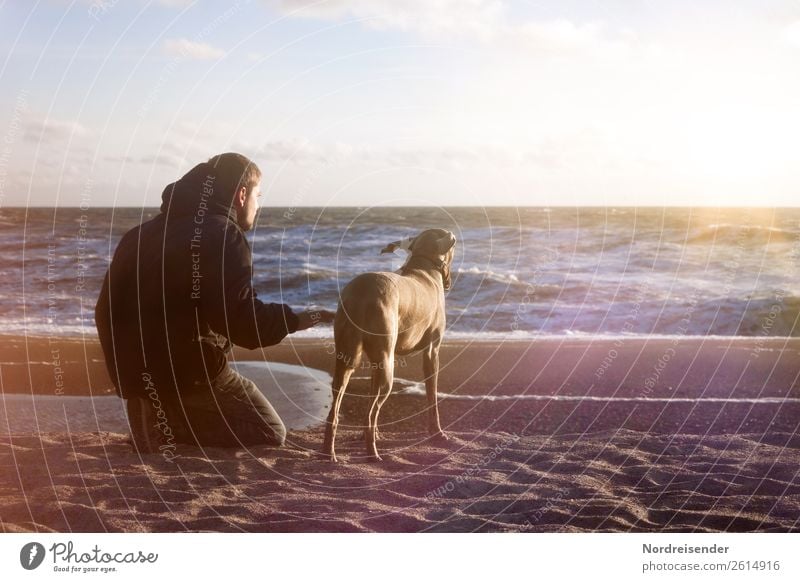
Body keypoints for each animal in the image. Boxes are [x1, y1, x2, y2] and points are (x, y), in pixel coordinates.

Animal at [320, 230, 456, 464]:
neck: (423, 267)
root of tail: (360, 294)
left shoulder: (376, 363)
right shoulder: (432, 352)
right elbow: (432, 397)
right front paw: (437, 433)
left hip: (348, 359)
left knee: (339, 407)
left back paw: (330, 451)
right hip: (387, 365)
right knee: (371, 412)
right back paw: (372, 452)